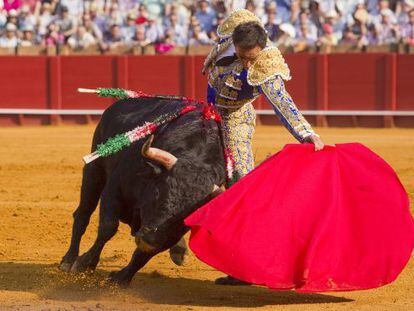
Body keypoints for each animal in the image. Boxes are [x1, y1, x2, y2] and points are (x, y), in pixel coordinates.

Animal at [59, 97, 225, 286]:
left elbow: (145, 253)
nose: (149, 241)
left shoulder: (165, 234)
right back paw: (69, 259)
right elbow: (108, 227)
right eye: (159, 194)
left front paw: (122, 277)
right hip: (94, 171)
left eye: (186, 219)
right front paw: (85, 264)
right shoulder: (114, 189)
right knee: (83, 214)